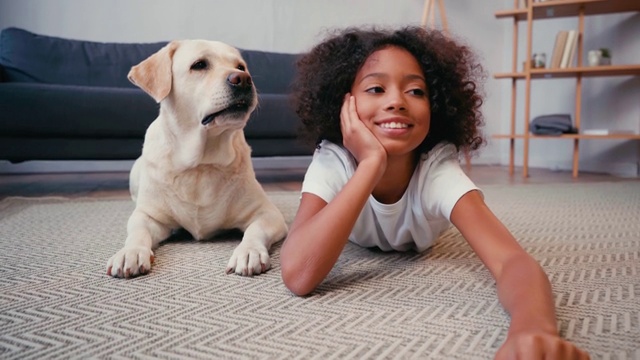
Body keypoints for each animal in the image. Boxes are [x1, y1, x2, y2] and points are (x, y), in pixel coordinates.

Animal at [107, 40, 288, 278]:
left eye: (240, 67)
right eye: (199, 65)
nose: (244, 79)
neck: (201, 164)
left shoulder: (268, 213)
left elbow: (255, 230)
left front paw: (249, 252)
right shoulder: (148, 215)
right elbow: (137, 232)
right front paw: (131, 252)